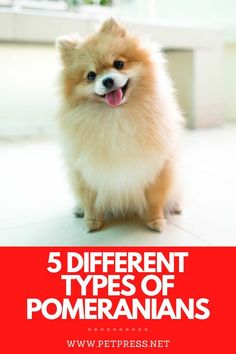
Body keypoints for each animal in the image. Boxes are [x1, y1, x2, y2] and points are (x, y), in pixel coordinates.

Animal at [56, 19, 183, 234]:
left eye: (119, 64)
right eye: (91, 76)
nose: (107, 80)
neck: (116, 117)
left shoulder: (157, 166)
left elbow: (155, 198)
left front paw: (155, 220)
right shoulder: (85, 171)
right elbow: (90, 199)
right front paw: (91, 221)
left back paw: (174, 206)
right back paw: (79, 210)